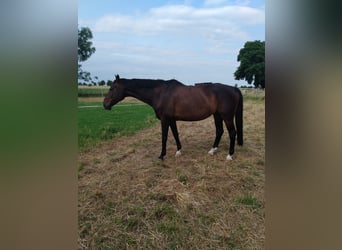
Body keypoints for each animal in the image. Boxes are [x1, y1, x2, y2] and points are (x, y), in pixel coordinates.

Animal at [103, 74, 242, 160]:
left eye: (112, 88)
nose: (105, 104)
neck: (160, 93)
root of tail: (233, 89)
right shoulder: (172, 119)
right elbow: (175, 134)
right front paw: (178, 151)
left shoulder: (165, 119)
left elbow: (164, 137)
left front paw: (161, 156)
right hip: (217, 115)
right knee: (219, 131)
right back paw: (212, 151)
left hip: (227, 116)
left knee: (232, 132)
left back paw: (229, 155)